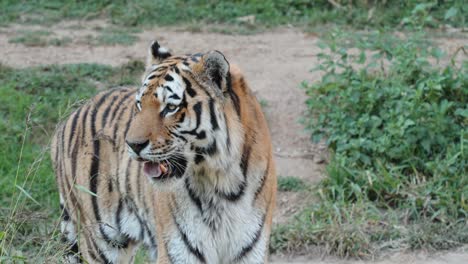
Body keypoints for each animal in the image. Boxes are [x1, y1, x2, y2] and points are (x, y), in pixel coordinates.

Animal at [50, 39, 278, 264]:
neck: (221, 182)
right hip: (100, 241)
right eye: (139, 105)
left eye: (170, 108)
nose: (132, 145)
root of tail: (74, 113)